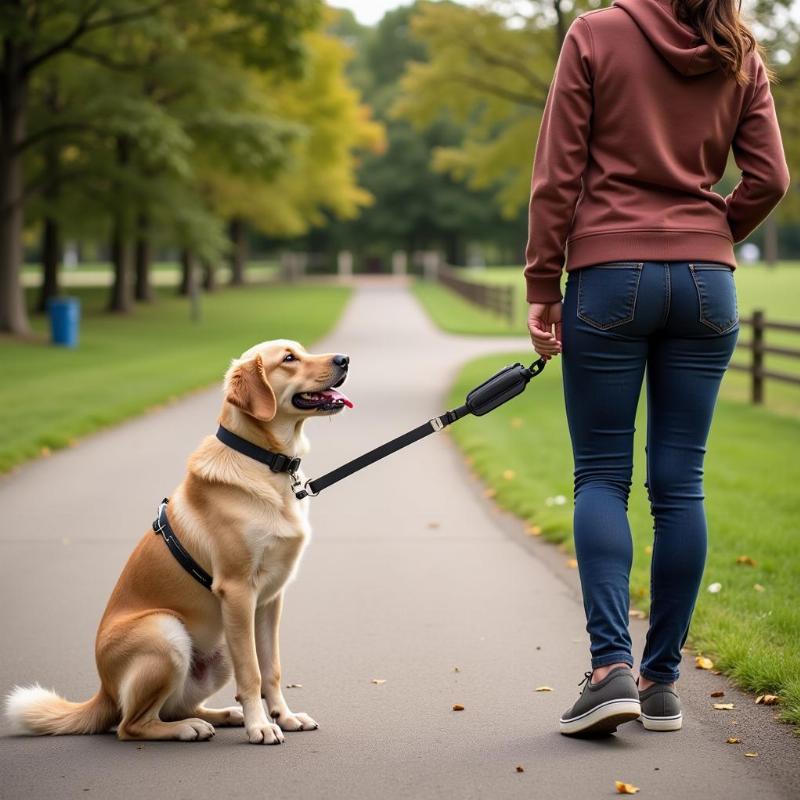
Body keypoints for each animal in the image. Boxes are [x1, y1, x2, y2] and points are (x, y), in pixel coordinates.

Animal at [4, 338, 352, 744]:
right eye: (289, 359)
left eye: (300, 350)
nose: (344, 359)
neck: (266, 463)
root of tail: (103, 691)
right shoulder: (237, 592)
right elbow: (252, 674)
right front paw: (261, 726)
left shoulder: (269, 601)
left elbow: (271, 669)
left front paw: (284, 716)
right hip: (166, 632)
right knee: (130, 725)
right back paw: (190, 729)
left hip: (219, 648)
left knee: (174, 707)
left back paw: (221, 715)